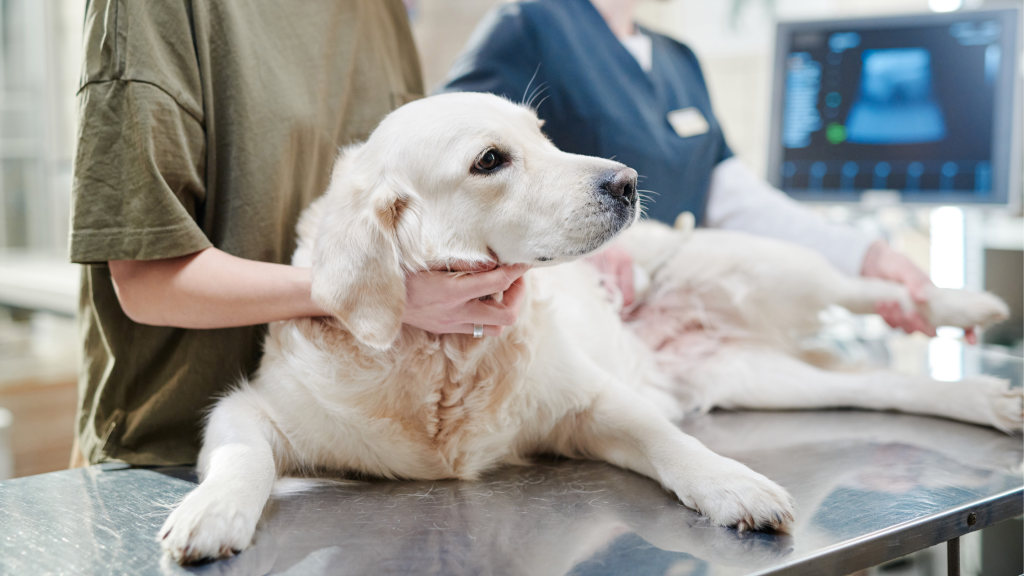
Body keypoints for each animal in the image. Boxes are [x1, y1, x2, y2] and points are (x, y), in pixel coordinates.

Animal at [157, 93, 1015, 561]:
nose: (628, 180)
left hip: (764, 266)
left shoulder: (591, 403)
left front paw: (733, 484)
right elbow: (241, 456)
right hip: (760, 378)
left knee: (863, 285)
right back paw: (990, 400)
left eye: (544, 134)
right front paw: (212, 512)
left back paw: (965, 306)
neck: (445, 356)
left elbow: (674, 445)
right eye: (492, 159)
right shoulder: (252, 407)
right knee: (886, 382)